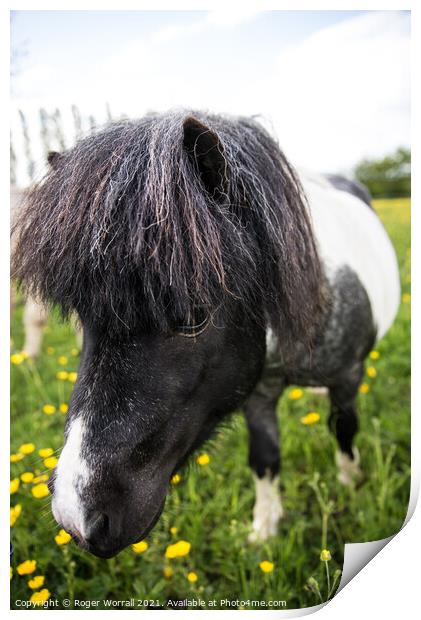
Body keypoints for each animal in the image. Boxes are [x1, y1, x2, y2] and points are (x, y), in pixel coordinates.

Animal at [9, 111, 398, 556]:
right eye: (81, 319)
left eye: (194, 316)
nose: (76, 516)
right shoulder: (258, 392)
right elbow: (265, 458)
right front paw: (263, 531)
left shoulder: (349, 376)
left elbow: (343, 427)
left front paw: (350, 485)